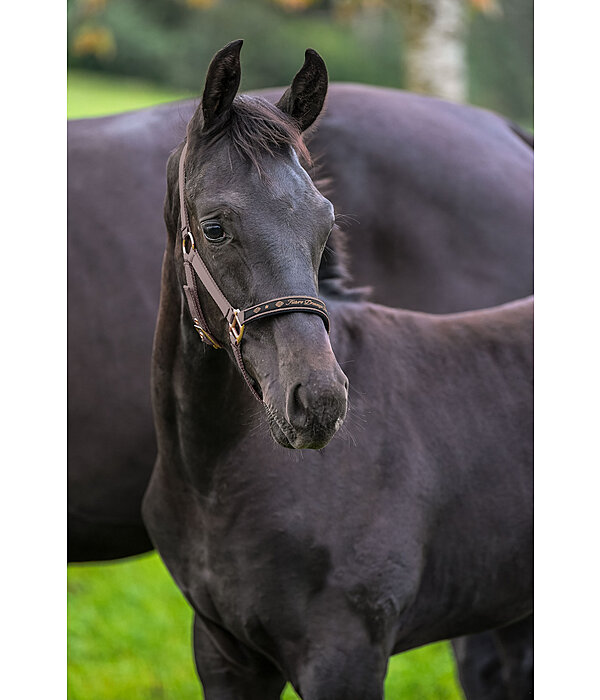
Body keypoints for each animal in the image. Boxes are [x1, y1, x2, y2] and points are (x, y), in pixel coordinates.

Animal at [142, 41, 536, 696]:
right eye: (215, 227)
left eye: (325, 223)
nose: (318, 401)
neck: (213, 475)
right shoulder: (223, 653)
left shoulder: (344, 655)